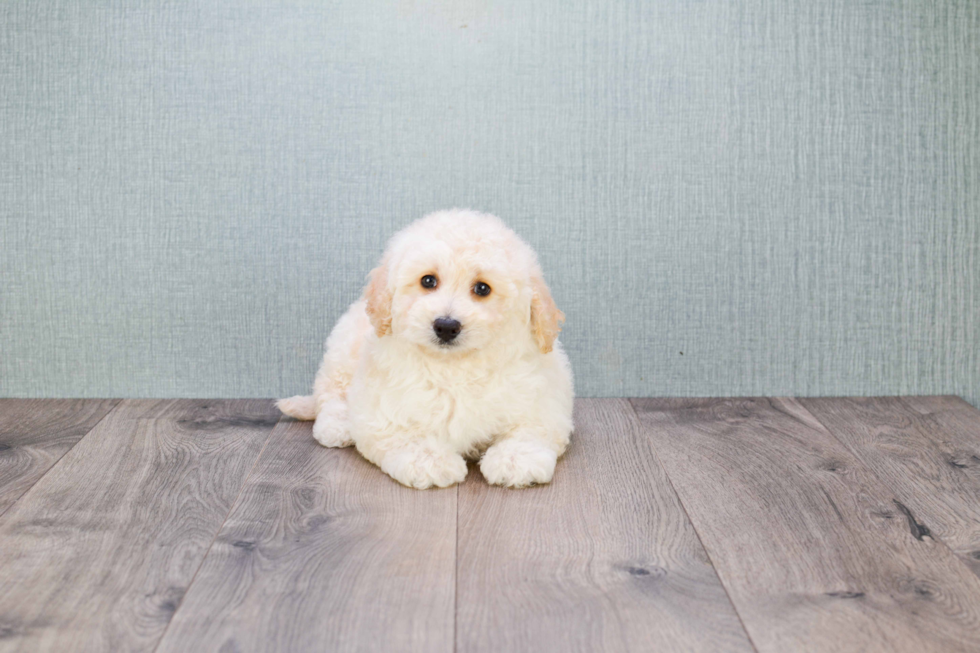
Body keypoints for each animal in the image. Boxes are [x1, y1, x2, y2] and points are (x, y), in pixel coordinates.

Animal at [278, 209, 576, 488]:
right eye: (428, 281)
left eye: (482, 288)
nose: (446, 326)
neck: (454, 367)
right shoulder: (381, 407)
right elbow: (402, 434)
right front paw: (430, 461)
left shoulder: (542, 403)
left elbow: (530, 430)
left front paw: (515, 460)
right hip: (343, 350)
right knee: (331, 394)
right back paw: (337, 425)